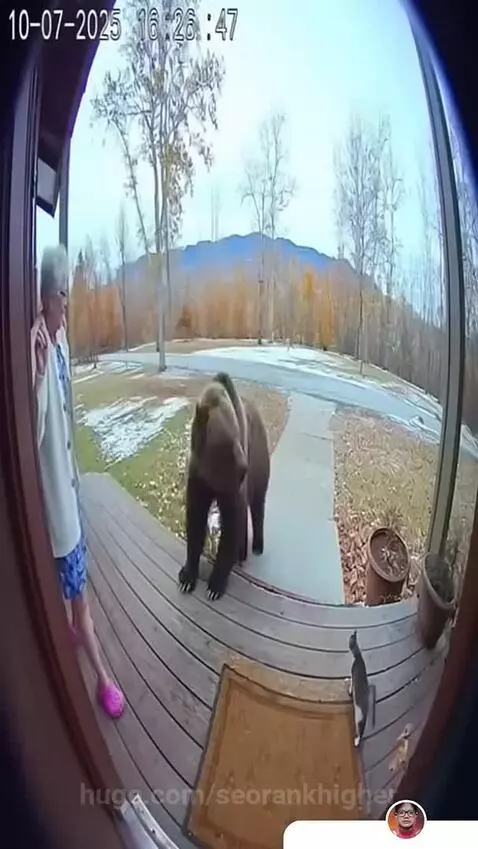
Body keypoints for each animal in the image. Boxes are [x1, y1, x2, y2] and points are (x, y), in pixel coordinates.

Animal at [178, 371, 270, 600]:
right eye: (227, 439)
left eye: (237, 433)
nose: (243, 465)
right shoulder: (198, 480)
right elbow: (195, 522)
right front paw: (187, 576)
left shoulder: (233, 485)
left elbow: (232, 524)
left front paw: (215, 586)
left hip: (260, 461)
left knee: (258, 505)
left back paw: (255, 546)